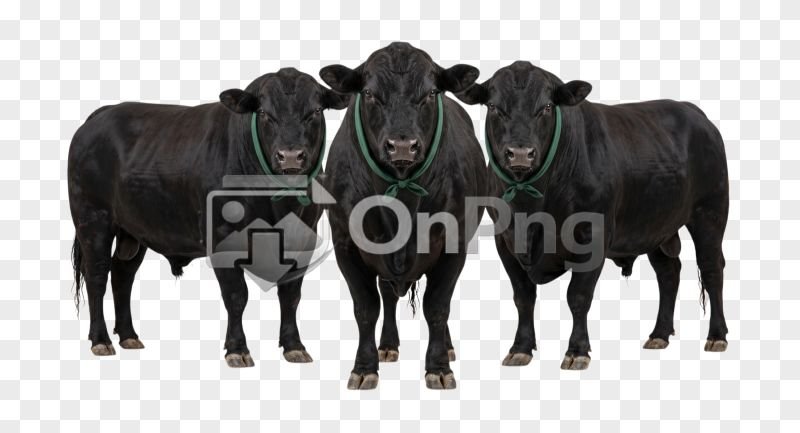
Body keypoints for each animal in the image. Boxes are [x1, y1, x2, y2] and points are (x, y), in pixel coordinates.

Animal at [68, 68, 348, 367]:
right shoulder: (223, 239)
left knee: (122, 275)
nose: (291, 156)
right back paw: (101, 340)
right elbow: (237, 295)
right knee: (97, 275)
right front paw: (237, 348)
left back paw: (129, 336)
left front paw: (294, 346)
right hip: (93, 220)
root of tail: (102, 114)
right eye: (263, 113)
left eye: (315, 111)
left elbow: (291, 295)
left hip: (133, 231)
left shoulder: (303, 239)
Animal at [319, 42, 485, 389]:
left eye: (431, 92)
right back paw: (388, 345)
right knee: (387, 296)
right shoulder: (346, 243)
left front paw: (438, 368)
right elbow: (366, 308)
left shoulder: (454, 243)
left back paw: (447, 347)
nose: (403, 146)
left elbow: (437, 306)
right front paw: (364, 367)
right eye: (369, 92)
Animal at [455, 61, 729, 369]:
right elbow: (523, 296)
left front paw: (577, 351)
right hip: (655, 226)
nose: (521, 153)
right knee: (668, 272)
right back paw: (659, 334)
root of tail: (695, 113)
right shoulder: (505, 240)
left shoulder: (593, 236)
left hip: (710, 212)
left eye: (547, 106)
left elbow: (578, 296)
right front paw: (520, 348)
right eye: (493, 106)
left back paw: (717, 336)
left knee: (711, 268)